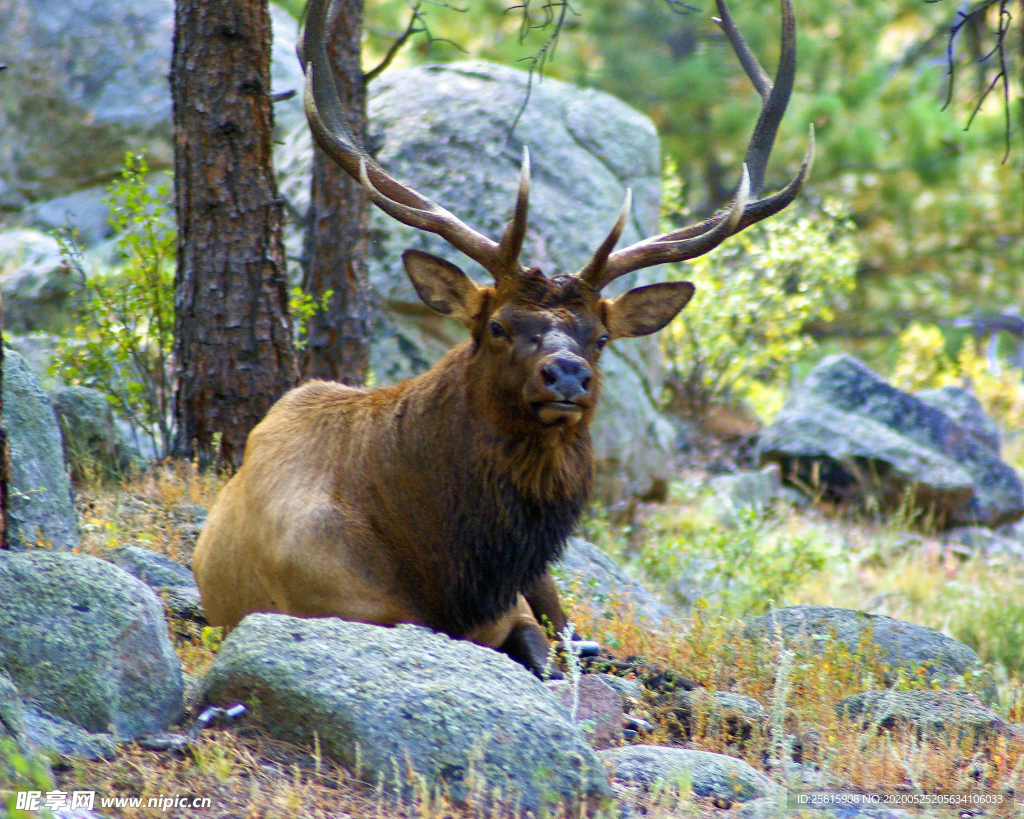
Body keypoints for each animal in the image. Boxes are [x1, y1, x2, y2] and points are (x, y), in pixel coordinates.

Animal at [192, 0, 815, 675]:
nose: (567, 374)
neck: (441, 569)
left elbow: (548, 656)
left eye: (600, 337)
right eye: (496, 325)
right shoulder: (331, 602)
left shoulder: (514, 608)